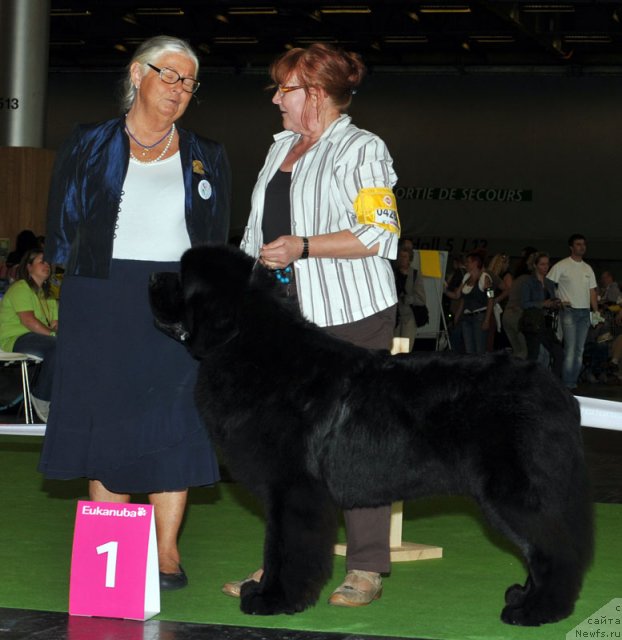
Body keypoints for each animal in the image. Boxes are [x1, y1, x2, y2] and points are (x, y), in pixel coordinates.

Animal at [150, 244, 596, 624]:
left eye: (181, 277)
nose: (153, 276)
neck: (251, 347)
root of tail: (556, 390)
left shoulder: (294, 490)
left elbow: (287, 548)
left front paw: (273, 599)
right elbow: (278, 548)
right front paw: (264, 589)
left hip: (516, 492)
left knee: (554, 550)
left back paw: (537, 610)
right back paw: (524, 596)